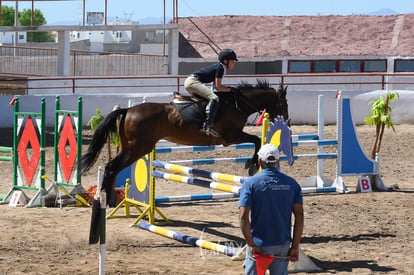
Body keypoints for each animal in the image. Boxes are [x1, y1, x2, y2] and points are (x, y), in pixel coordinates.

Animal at [81, 80, 288, 209]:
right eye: (283, 104)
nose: (286, 119)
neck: (238, 104)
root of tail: (128, 110)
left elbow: (256, 141)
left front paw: (251, 165)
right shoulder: (230, 137)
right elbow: (256, 140)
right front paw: (251, 165)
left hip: (131, 147)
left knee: (113, 167)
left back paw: (107, 198)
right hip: (138, 148)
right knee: (112, 166)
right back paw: (107, 200)